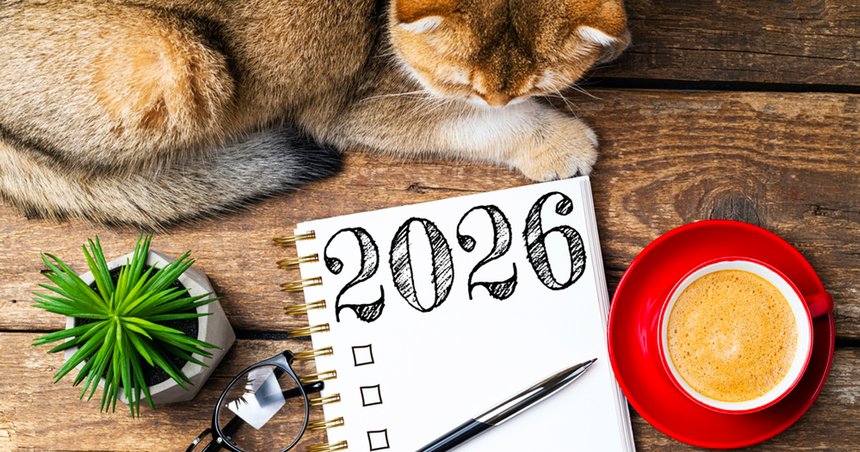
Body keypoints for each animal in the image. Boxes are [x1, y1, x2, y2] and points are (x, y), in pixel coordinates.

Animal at [0, 0, 629, 227]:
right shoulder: (357, 104)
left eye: (539, 80)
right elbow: (481, 125)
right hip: (172, 60)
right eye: (461, 83)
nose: (497, 96)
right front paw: (557, 142)